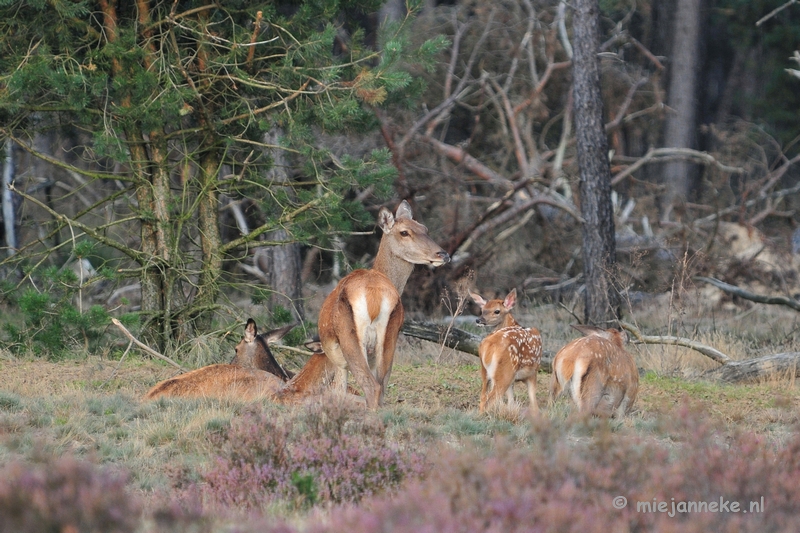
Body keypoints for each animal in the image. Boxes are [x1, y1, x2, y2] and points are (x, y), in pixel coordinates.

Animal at [322, 200, 454, 408]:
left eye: (425, 229)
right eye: (405, 232)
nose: (443, 254)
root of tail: (374, 295)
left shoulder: (338, 361)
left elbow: (337, 392)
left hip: (349, 335)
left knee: (371, 386)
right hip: (391, 333)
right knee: (381, 386)